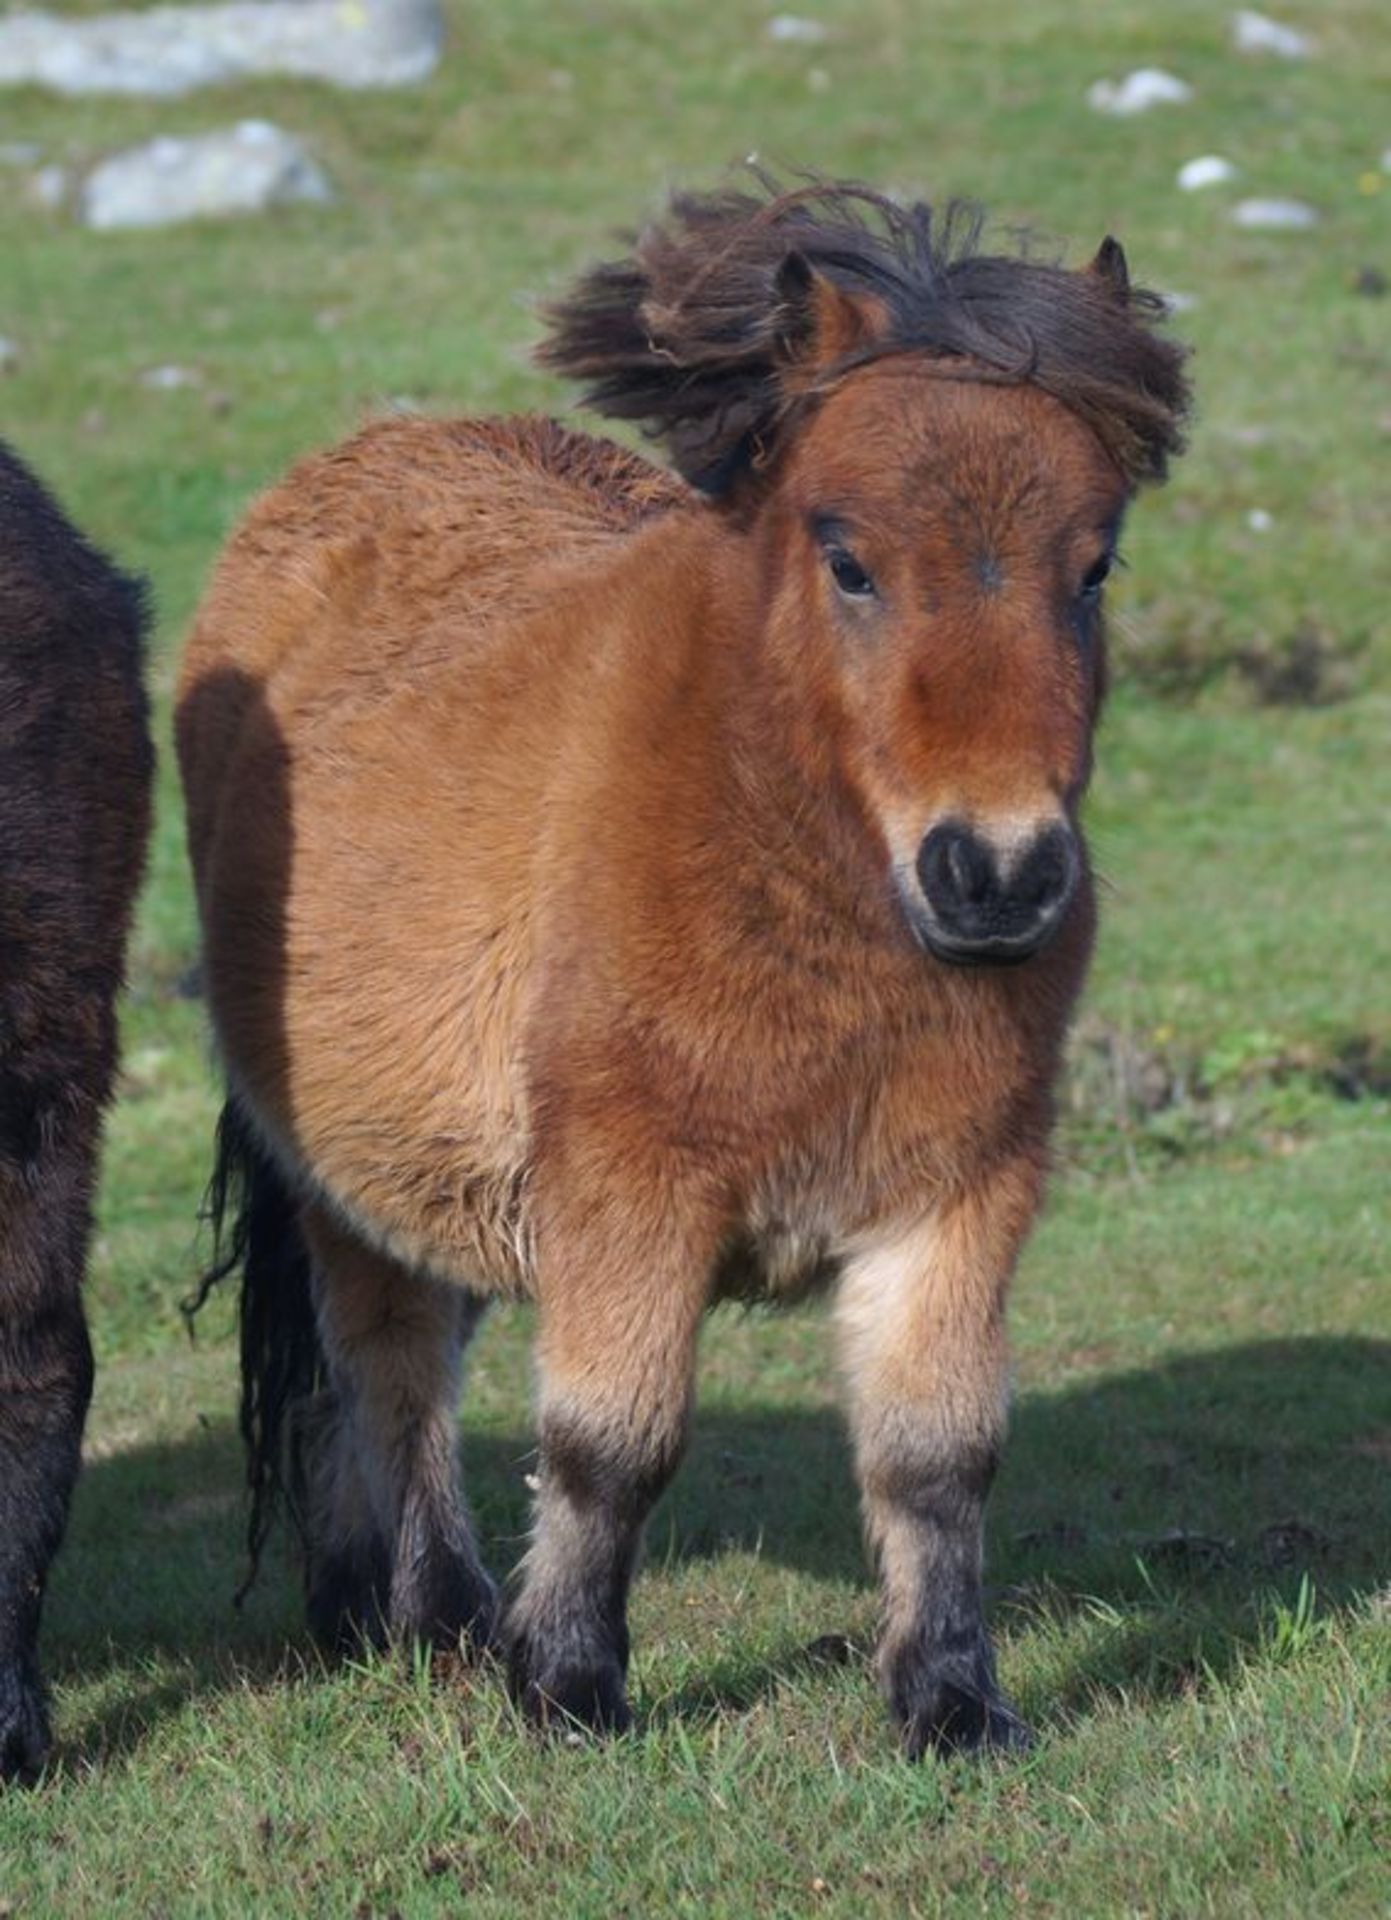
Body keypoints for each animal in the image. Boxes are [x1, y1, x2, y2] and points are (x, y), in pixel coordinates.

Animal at [179, 180, 1191, 1758]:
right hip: (346, 1173)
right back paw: (438, 1616)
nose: (997, 875)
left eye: (1091, 568)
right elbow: (610, 1444)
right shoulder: (629, 1185)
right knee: (391, 1367)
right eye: (846, 558)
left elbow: (935, 1457)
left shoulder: (955, 1194)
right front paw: (564, 1684)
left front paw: (951, 1701)